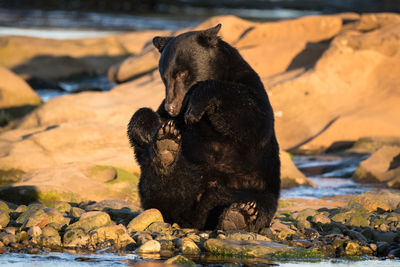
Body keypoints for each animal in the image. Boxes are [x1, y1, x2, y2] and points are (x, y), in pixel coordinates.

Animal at [128, 24, 282, 233]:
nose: (172, 107)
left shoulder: (252, 88)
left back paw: (239, 215)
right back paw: (166, 149)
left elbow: (252, 118)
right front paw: (147, 130)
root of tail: (195, 218)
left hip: (251, 186)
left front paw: (195, 106)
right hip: (172, 184)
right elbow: (147, 120)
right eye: (164, 77)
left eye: (183, 73)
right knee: (160, 186)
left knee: (260, 203)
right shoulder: (171, 116)